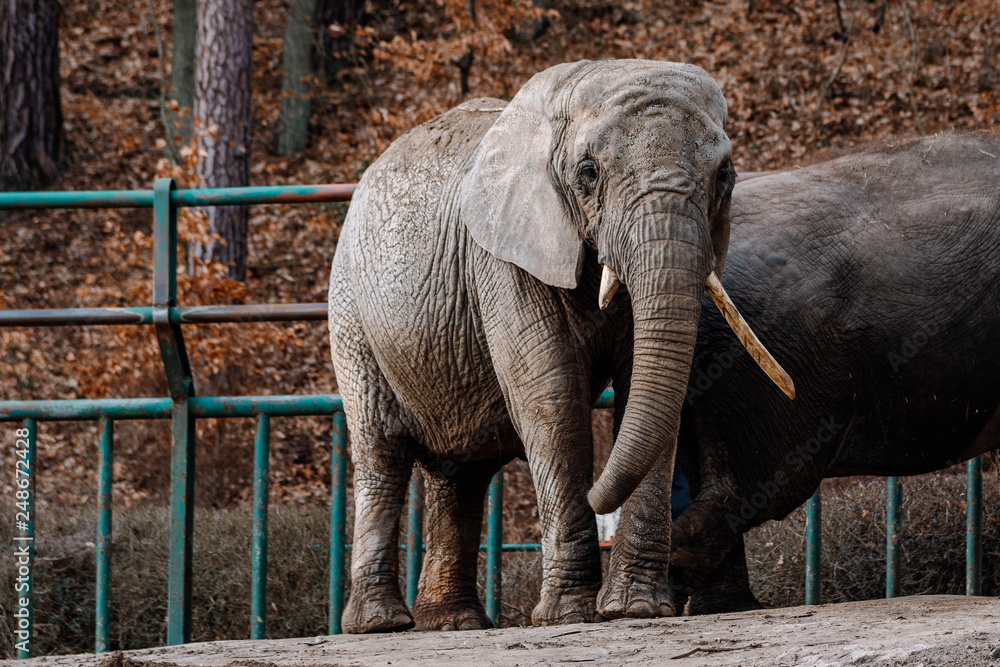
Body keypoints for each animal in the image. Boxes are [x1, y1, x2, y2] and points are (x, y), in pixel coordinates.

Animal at [327, 59, 791, 632]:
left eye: (724, 177)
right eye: (587, 173)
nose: (599, 504)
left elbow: (649, 389)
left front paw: (634, 609)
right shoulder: (502, 258)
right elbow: (551, 399)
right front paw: (570, 615)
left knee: (462, 472)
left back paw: (454, 623)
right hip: (350, 311)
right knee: (381, 450)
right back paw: (381, 624)